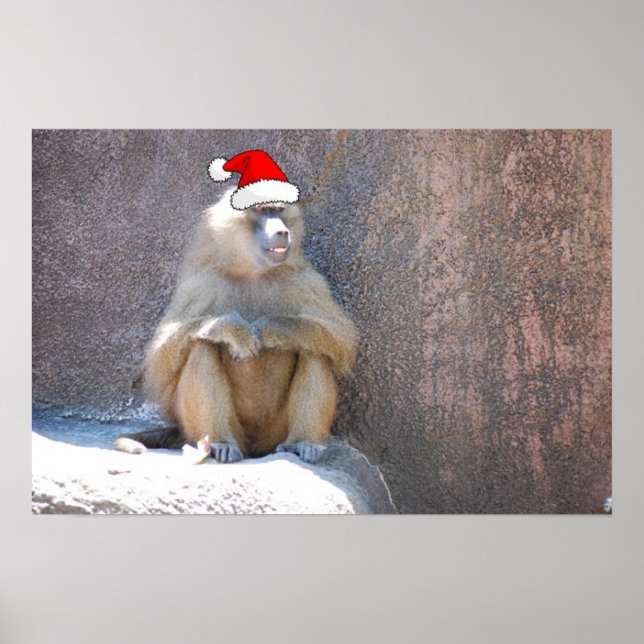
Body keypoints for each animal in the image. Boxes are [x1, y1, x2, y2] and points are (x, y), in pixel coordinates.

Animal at [115, 187, 357, 464]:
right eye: (262, 210)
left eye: (279, 209)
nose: (282, 232)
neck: (253, 272)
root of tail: (254, 448)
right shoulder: (201, 283)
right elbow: (161, 360)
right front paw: (233, 330)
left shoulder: (306, 279)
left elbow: (340, 339)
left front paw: (269, 329)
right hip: (210, 428)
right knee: (202, 346)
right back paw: (221, 444)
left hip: (274, 435)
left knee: (313, 349)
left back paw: (303, 443)